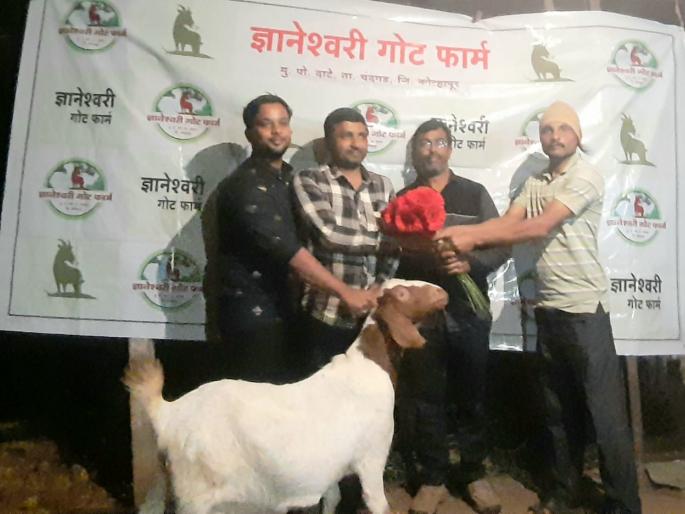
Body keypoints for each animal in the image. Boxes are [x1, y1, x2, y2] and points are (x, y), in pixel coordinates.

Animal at [123, 281, 448, 514]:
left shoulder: (332, 467)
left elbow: (332, 498)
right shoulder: (372, 455)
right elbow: (377, 503)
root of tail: (167, 414)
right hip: (195, 492)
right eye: (404, 292)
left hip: (162, 480)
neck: (370, 364)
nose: (443, 292)